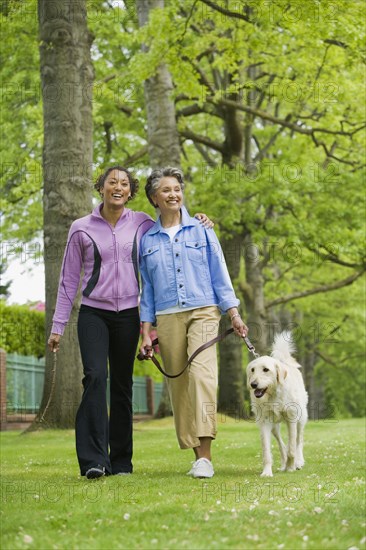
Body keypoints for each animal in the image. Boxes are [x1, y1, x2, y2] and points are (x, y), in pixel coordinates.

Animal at [247, 332, 308, 478]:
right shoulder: (264, 422)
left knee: (299, 441)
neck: (273, 396)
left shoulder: (292, 420)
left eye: (266, 370)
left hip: (301, 420)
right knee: (281, 443)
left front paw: (291, 467)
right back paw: (284, 464)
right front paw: (267, 472)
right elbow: (266, 451)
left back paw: (298, 462)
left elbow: (292, 448)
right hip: (274, 427)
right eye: (252, 370)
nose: (253, 384)